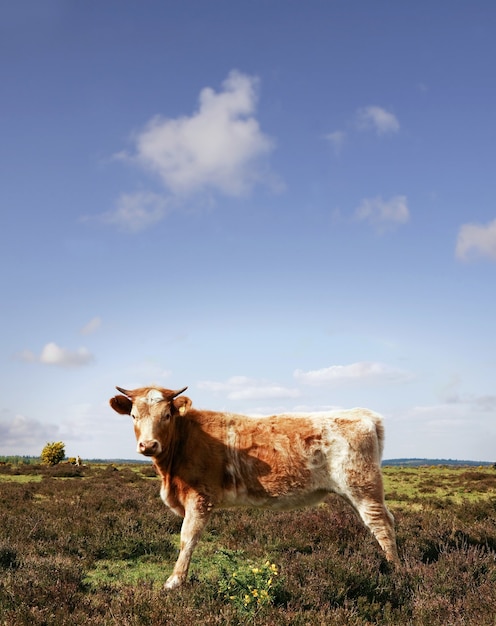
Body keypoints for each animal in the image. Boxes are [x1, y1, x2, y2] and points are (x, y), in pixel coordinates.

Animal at [108, 382, 400, 588]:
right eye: (133, 415)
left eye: (167, 414)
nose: (148, 445)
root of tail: (362, 414)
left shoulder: (200, 497)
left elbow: (187, 538)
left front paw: (175, 581)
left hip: (362, 486)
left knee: (381, 523)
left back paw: (398, 572)